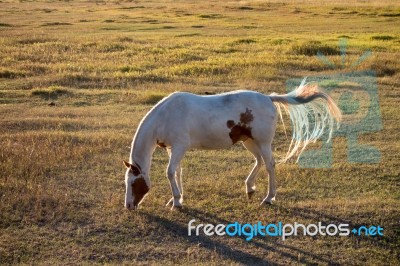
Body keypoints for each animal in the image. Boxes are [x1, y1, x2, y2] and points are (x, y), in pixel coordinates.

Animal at [123, 79, 342, 210]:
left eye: (133, 183)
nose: (128, 206)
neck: (165, 116)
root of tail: (268, 98)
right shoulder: (173, 149)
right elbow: (176, 172)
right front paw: (176, 198)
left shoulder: (179, 147)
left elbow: (170, 172)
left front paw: (176, 202)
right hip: (249, 142)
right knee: (259, 161)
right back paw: (250, 188)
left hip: (262, 142)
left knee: (270, 165)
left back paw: (269, 197)